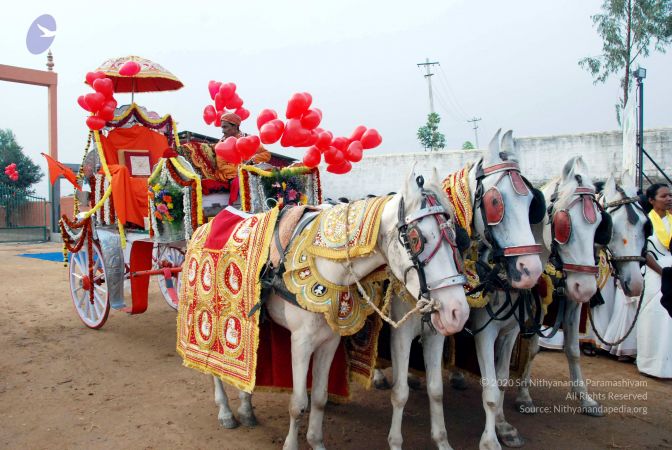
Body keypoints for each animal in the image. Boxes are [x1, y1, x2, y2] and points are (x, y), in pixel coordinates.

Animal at [207, 167, 470, 448]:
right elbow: (298, 403)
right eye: (416, 238)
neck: (324, 264)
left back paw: (246, 408)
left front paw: (316, 441)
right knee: (216, 367)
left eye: (457, 236)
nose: (458, 312)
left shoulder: (331, 339)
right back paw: (226, 412)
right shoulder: (302, 342)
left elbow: (320, 397)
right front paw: (291, 443)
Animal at [386, 130, 544, 450]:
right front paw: (490, 441)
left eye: (532, 203)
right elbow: (489, 389)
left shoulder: (505, 331)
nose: (531, 270)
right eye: (496, 203)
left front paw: (502, 428)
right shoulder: (405, 332)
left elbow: (496, 381)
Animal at [516, 170, 652, 414]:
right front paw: (523, 395)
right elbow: (532, 347)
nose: (636, 283)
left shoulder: (573, 300)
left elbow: (572, 349)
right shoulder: (538, 301)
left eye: (645, 226)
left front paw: (584, 397)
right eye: (612, 229)